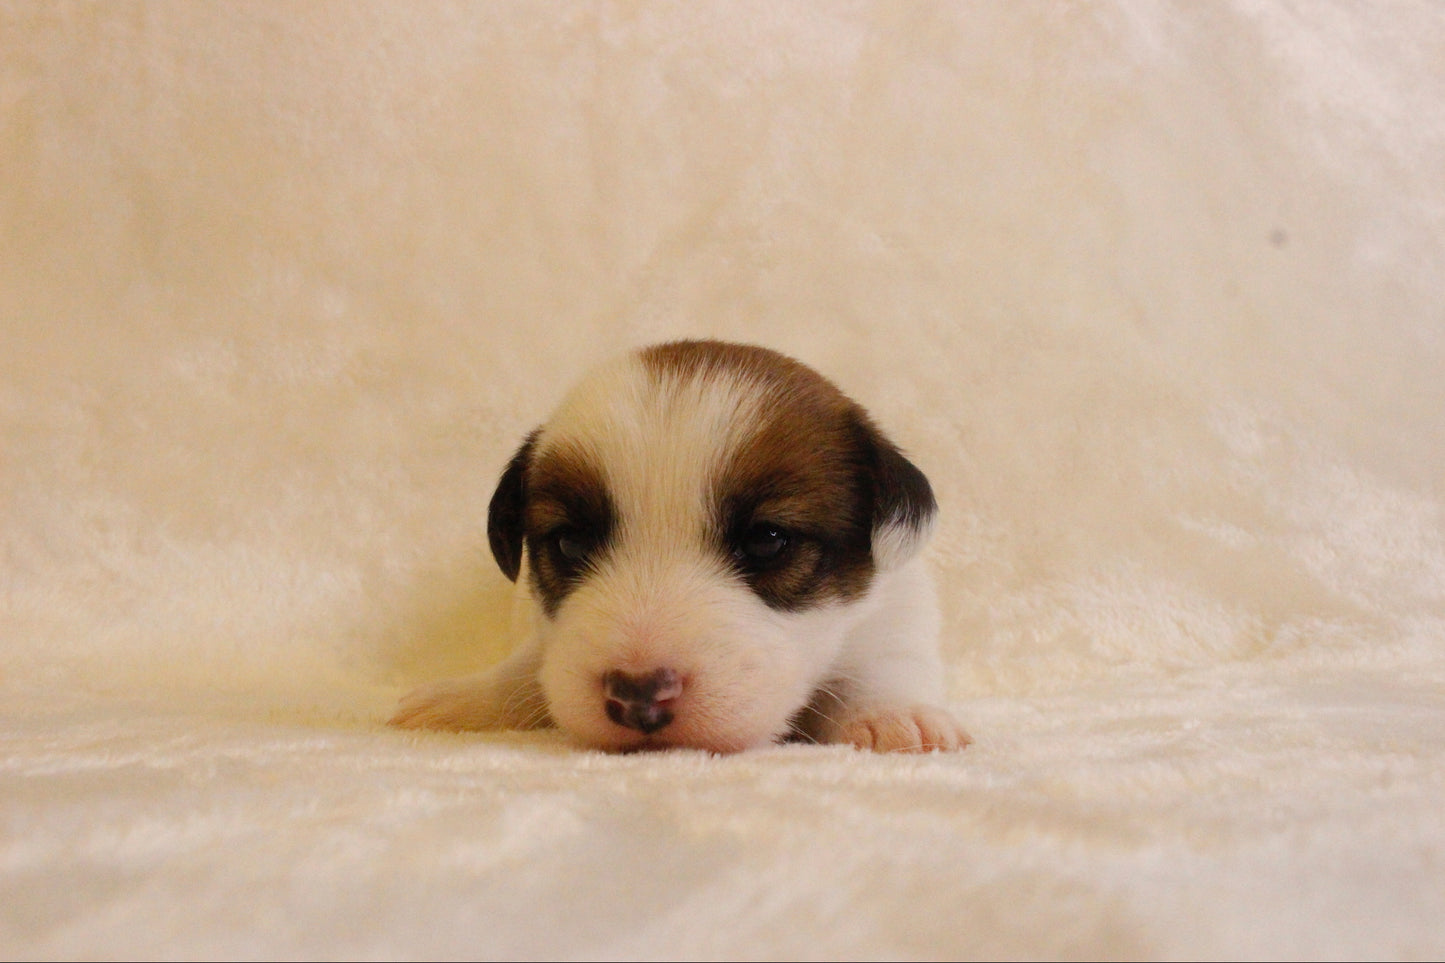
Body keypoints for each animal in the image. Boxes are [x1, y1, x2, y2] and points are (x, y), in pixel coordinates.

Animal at [390, 336, 965, 751]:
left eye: (767, 541)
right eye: (570, 543)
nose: (637, 695)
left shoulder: (893, 620)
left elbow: (883, 670)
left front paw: (893, 716)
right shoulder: (543, 636)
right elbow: (527, 667)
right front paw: (466, 697)